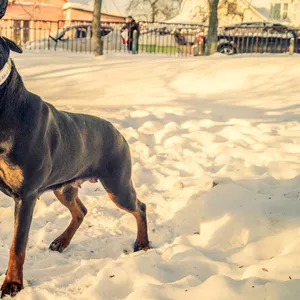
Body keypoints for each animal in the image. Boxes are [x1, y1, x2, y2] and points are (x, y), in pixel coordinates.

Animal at [0, 38, 150, 298]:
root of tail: (118, 133)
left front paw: (12, 284)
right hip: (64, 187)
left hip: (117, 184)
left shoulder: (26, 195)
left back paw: (142, 243)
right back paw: (61, 241)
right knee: (80, 211)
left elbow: (17, 245)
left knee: (139, 207)